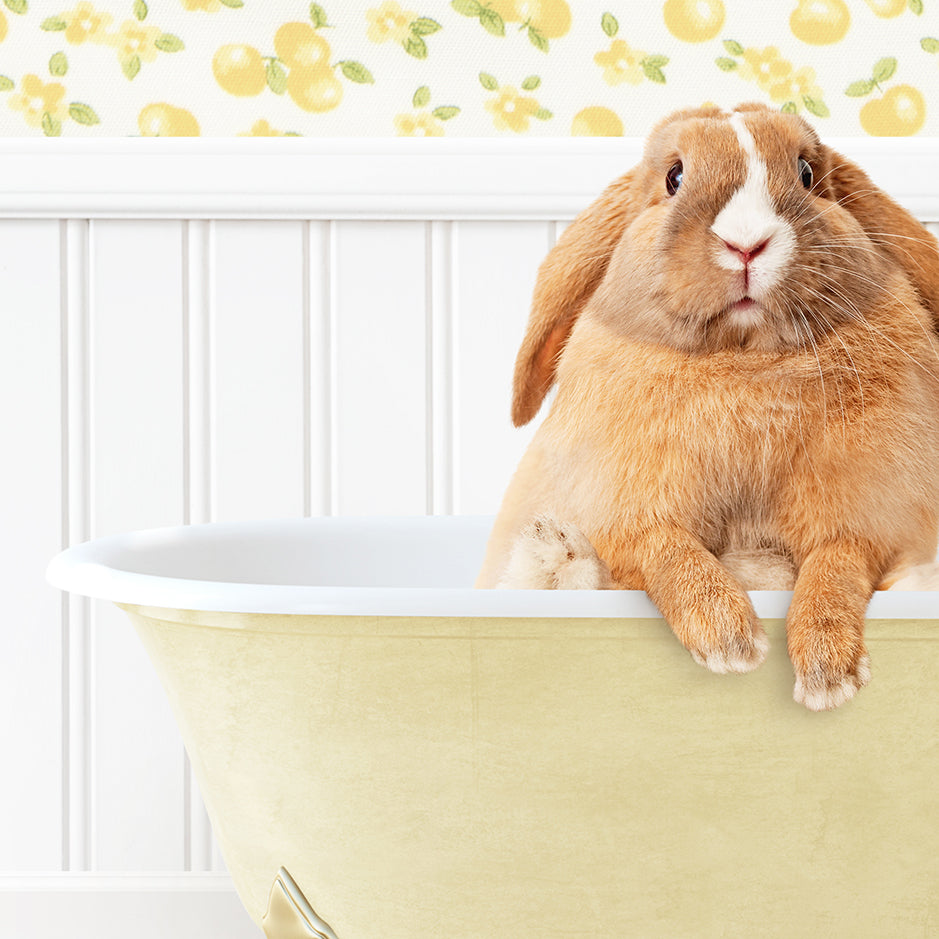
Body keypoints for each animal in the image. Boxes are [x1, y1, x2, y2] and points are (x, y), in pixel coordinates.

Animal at [478, 103, 939, 712]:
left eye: (806, 174)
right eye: (674, 177)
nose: (747, 244)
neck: (742, 361)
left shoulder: (864, 518)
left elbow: (835, 566)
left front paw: (826, 674)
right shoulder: (631, 510)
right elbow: (668, 550)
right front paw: (731, 642)